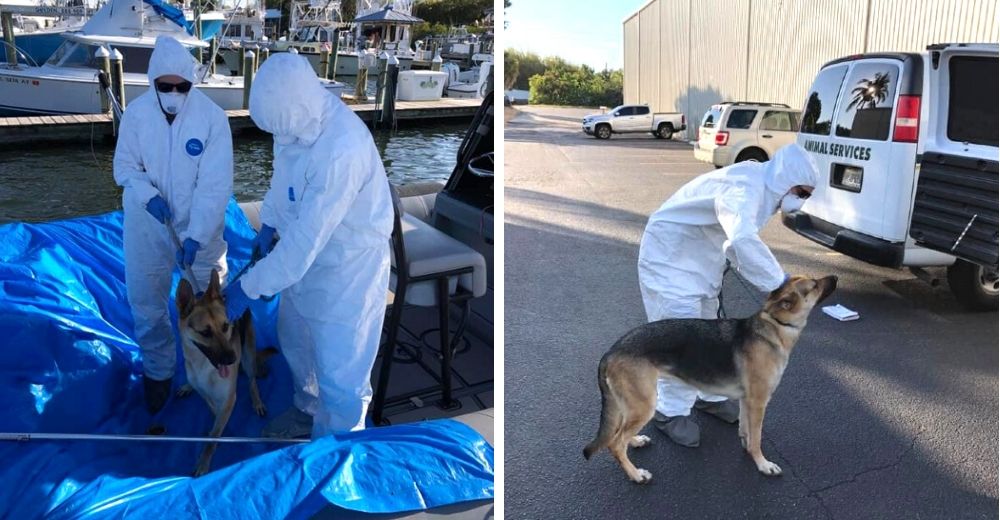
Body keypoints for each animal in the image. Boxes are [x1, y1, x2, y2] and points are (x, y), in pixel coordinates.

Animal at [174, 270, 272, 478]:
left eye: (226, 326)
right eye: (205, 332)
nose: (232, 359)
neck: (202, 365)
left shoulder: (229, 398)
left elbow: (213, 436)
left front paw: (204, 461)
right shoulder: (206, 394)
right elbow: (214, 416)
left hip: (248, 353)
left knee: (252, 381)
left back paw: (257, 401)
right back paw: (187, 387)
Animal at [584, 276, 840, 484]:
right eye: (814, 284)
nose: (835, 277)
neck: (775, 324)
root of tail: (611, 351)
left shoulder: (747, 401)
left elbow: (746, 431)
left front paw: (748, 450)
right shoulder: (758, 402)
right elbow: (757, 437)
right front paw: (763, 464)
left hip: (631, 405)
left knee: (619, 434)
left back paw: (635, 441)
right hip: (644, 405)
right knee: (615, 443)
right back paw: (636, 475)